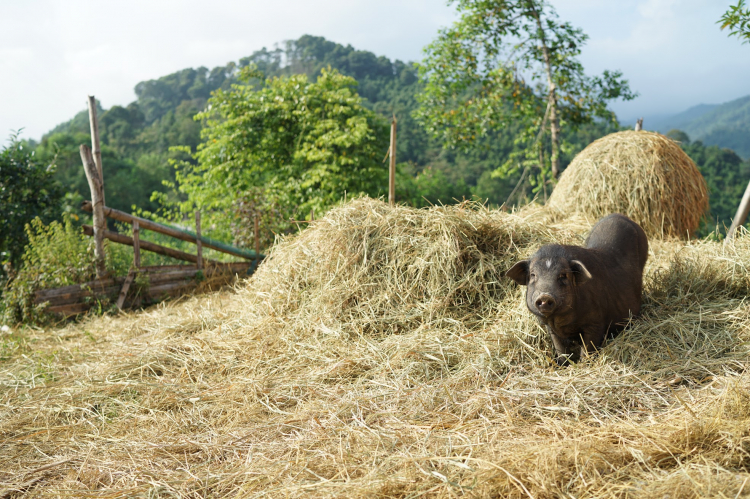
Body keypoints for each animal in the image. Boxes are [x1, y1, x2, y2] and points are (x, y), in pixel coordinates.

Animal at [508, 213, 648, 366]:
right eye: (533, 275)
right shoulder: (551, 329)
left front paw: (583, 364)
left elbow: (588, 348)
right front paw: (563, 364)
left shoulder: (595, 323)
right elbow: (560, 349)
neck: (559, 321)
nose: (545, 296)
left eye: (563, 275)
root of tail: (619, 215)